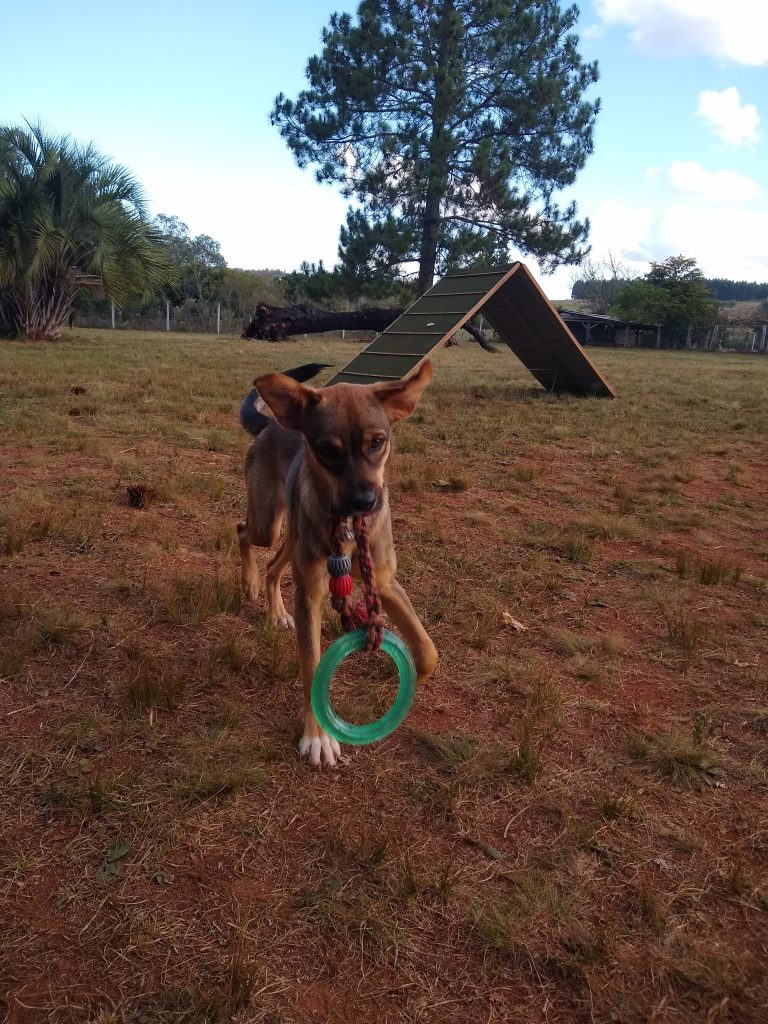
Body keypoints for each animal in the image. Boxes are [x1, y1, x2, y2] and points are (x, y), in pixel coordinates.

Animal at [234, 360, 438, 770]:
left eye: (377, 442)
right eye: (328, 449)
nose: (365, 502)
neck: (346, 528)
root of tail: (271, 425)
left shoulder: (385, 583)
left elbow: (427, 652)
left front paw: (414, 681)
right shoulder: (311, 595)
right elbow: (312, 665)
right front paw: (318, 737)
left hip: (293, 537)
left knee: (274, 567)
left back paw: (276, 611)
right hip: (269, 524)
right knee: (244, 532)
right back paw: (249, 583)